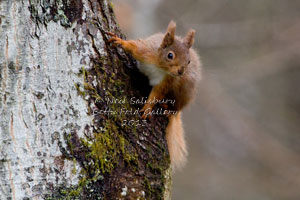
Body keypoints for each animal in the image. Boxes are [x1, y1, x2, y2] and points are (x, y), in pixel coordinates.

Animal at [108, 20, 202, 169]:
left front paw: (147, 108)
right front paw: (120, 41)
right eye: (170, 55)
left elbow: (156, 94)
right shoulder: (146, 52)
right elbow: (134, 48)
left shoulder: (167, 81)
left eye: (188, 61)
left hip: (184, 89)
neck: (161, 67)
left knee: (176, 107)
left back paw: (169, 109)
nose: (181, 71)